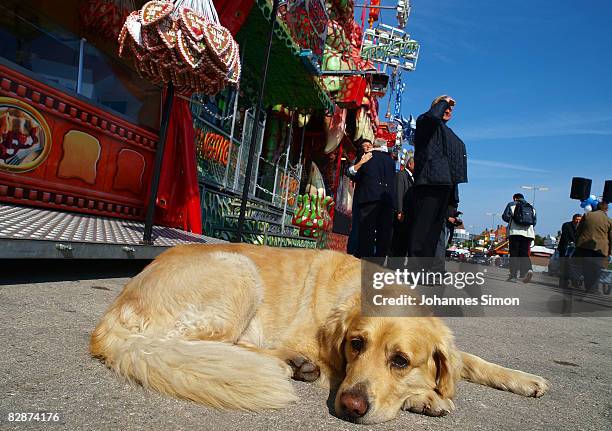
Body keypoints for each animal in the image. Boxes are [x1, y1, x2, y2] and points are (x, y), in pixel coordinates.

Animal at [91, 245, 548, 424]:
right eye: (356, 344)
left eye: (400, 360)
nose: (350, 406)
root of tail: (111, 317)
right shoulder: (334, 362)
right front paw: (426, 397)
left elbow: (468, 359)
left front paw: (525, 379)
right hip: (239, 272)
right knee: (201, 347)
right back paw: (288, 364)